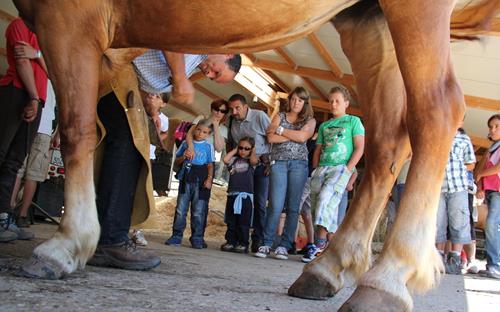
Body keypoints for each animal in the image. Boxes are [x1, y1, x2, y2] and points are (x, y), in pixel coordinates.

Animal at [11, 0, 500, 310]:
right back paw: (327, 271)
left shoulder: (71, 19)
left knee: (437, 109)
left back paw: (386, 282)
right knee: (387, 142)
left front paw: (63, 247)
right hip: (370, 20)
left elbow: (77, 129)